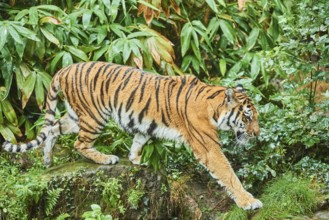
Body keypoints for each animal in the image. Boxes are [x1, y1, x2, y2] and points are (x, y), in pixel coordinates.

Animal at [0, 61, 262, 210]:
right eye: (248, 117)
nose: (258, 134)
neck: (215, 107)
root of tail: (64, 68)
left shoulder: (145, 126)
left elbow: (138, 141)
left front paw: (137, 160)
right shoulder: (208, 146)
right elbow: (228, 174)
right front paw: (249, 202)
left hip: (76, 116)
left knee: (54, 128)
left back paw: (47, 160)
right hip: (95, 116)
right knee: (79, 144)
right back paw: (106, 158)